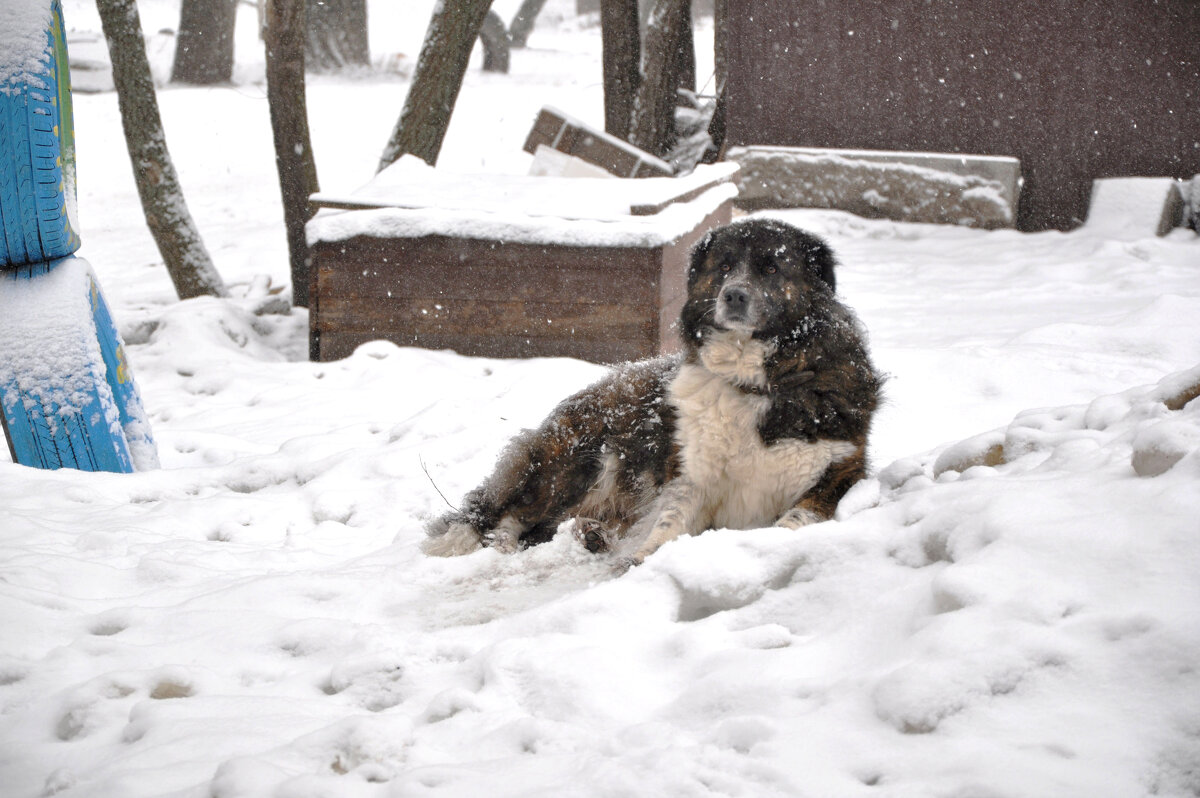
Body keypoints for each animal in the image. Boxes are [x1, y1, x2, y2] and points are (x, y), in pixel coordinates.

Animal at [422, 218, 883, 564]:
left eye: (772, 268)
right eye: (724, 266)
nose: (733, 295)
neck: (753, 381)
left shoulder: (840, 472)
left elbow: (796, 518)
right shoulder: (689, 476)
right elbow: (669, 520)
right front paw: (643, 557)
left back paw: (593, 534)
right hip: (585, 459)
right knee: (511, 516)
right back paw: (503, 545)